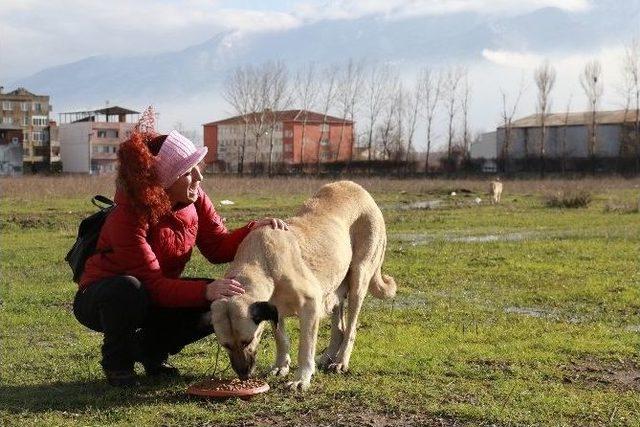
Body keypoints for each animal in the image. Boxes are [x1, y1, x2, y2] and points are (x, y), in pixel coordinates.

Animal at [210, 181, 396, 392]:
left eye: (247, 341)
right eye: (225, 345)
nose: (244, 375)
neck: (262, 264)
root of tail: (357, 187)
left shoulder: (310, 304)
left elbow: (305, 347)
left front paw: (302, 378)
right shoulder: (274, 310)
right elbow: (281, 338)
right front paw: (281, 366)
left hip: (359, 277)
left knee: (350, 329)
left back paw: (340, 361)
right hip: (334, 287)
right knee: (339, 327)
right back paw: (327, 357)